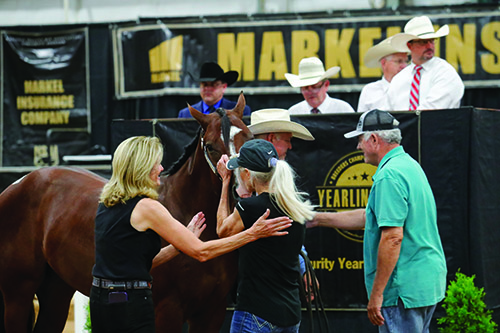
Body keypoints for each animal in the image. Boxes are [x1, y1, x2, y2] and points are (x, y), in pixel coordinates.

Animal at [0, 94, 252, 332]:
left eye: (248, 137)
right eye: (210, 146)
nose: (241, 191)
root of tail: (18, 183)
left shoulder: (211, 312)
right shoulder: (167, 311)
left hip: (56, 291)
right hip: (17, 296)